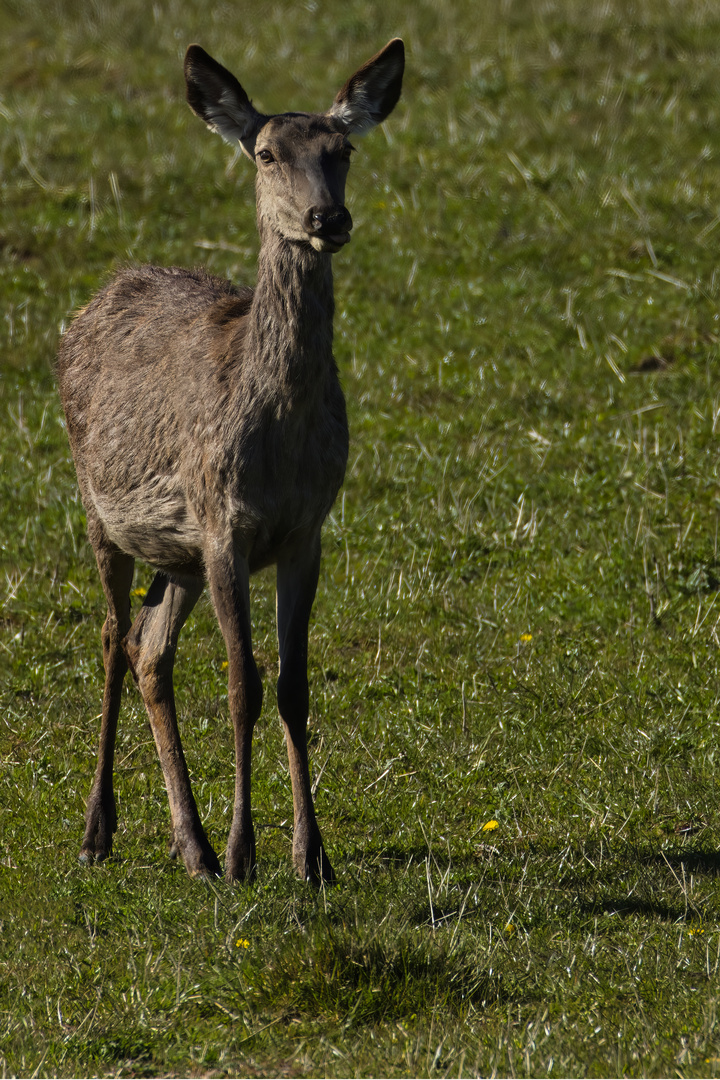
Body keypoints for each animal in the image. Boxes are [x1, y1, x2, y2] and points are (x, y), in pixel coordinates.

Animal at [56, 38, 405, 881]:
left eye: (343, 151)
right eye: (267, 152)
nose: (326, 217)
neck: (277, 442)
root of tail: (93, 300)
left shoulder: (306, 530)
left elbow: (293, 685)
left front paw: (312, 856)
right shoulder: (225, 525)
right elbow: (243, 682)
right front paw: (250, 852)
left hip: (175, 552)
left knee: (150, 651)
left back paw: (193, 846)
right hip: (99, 507)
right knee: (112, 638)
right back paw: (99, 832)